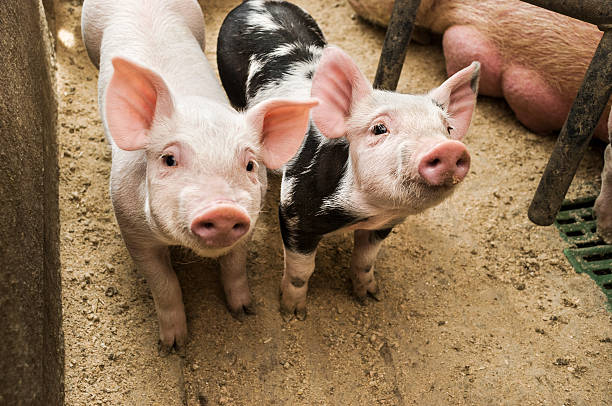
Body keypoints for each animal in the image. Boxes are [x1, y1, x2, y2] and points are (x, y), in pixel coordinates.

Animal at [82, 0, 318, 350]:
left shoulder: (251, 218)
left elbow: (235, 267)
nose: (223, 209)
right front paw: (173, 346)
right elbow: (164, 284)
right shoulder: (131, 229)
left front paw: (244, 311)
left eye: (249, 165)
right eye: (168, 159)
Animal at [218, 0, 480, 320]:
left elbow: (365, 260)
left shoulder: (386, 223)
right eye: (379, 128)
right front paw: (293, 313)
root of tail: (253, 3)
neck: (364, 213)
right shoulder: (294, 214)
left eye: (448, 129)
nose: (448, 148)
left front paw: (369, 296)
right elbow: (301, 271)